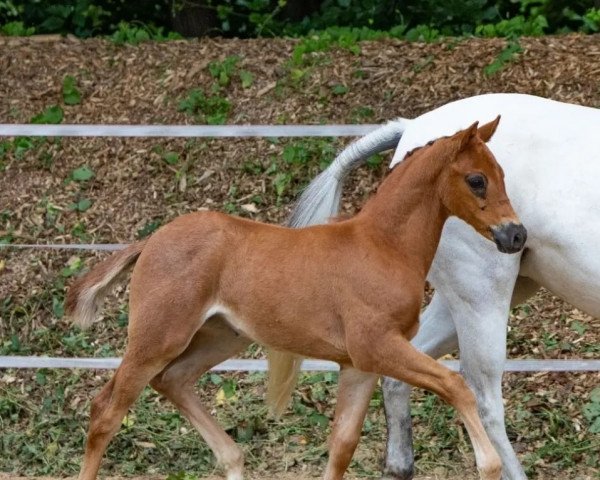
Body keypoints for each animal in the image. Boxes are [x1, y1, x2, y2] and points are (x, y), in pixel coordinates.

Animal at [67, 119, 524, 480]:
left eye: (503, 173)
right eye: (477, 180)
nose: (516, 234)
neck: (383, 247)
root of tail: (150, 241)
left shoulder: (359, 365)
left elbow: (342, 447)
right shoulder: (377, 346)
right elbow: (456, 385)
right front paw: (489, 465)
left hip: (222, 337)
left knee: (173, 380)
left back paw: (233, 459)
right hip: (158, 338)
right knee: (105, 411)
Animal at [284, 93, 600, 476]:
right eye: (477, 181)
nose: (515, 235)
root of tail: (412, 127)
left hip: (465, 302)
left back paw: (400, 466)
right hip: (480, 296)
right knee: (483, 398)